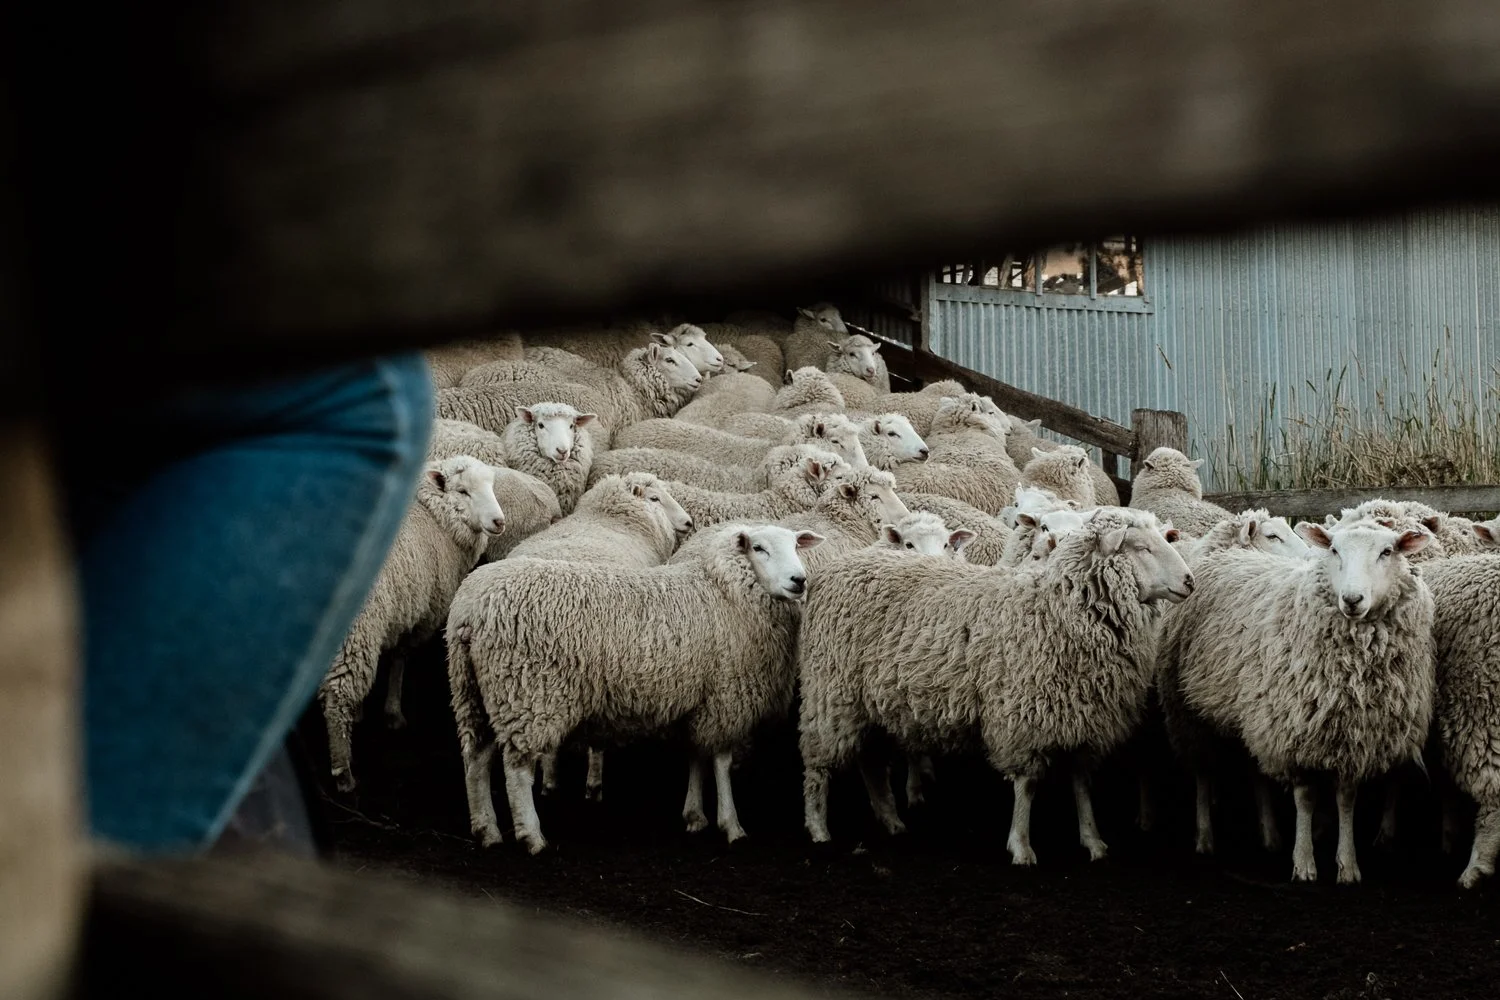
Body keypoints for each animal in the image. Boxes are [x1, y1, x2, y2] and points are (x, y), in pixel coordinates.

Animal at [319, 456, 506, 793]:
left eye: (491, 486)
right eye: (463, 491)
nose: (499, 522)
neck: (433, 516)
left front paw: (363, 711)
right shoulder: (420, 615)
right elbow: (399, 658)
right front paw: (393, 712)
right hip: (356, 630)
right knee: (337, 697)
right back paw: (343, 773)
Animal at [447, 523, 822, 850]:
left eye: (796, 546)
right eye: (758, 548)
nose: (799, 581)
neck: (723, 591)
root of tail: (469, 611)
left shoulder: (697, 701)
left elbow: (697, 755)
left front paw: (694, 815)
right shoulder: (725, 697)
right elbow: (720, 761)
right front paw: (731, 824)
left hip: (473, 691)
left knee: (476, 758)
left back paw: (486, 830)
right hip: (527, 693)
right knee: (517, 769)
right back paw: (531, 836)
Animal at [798, 507, 1193, 855]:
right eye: (1141, 548)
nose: (1189, 580)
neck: (1056, 609)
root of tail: (838, 567)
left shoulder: (1082, 717)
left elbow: (1081, 784)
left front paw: (1092, 840)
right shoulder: (1021, 716)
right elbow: (1027, 785)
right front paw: (1021, 845)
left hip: (867, 703)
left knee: (871, 762)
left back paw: (890, 819)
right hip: (830, 692)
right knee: (818, 765)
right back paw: (818, 827)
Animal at [1158, 520, 1435, 883]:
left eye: (1387, 552)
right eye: (1334, 550)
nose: (1352, 599)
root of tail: (1227, 554)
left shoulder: (1354, 734)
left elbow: (1346, 799)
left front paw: (1347, 864)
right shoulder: (1295, 731)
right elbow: (1305, 798)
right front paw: (1304, 861)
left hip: (1253, 711)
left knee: (1255, 770)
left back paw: (1270, 834)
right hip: (1189, 711)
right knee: (1203, 772)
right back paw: (1205, 836)